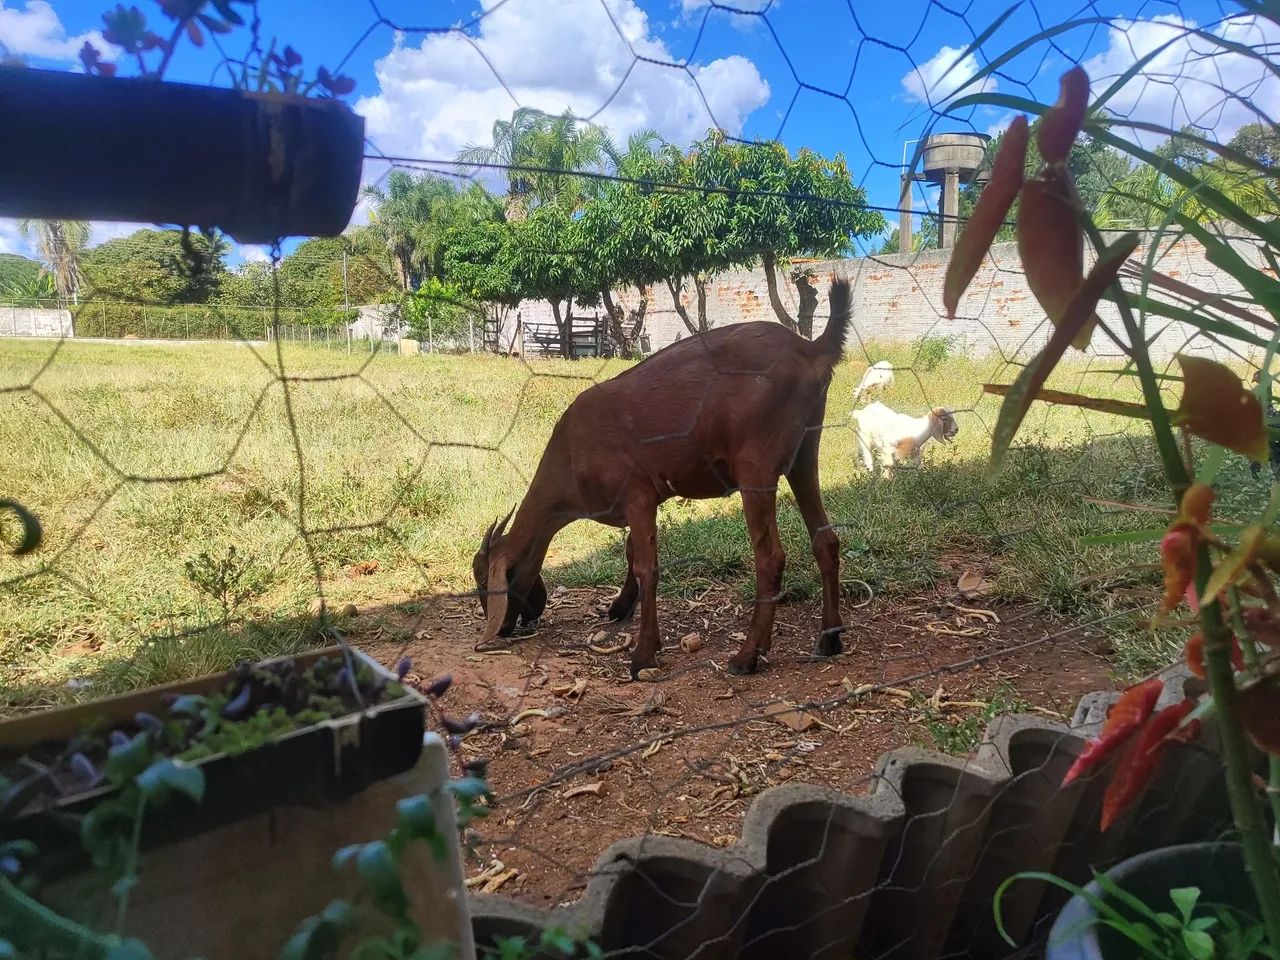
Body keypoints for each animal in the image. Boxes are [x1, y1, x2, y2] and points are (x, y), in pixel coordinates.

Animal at [474, 281, 853, 680]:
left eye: (484, 581)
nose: (503, 626)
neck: (571, 455)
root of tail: (811, 349)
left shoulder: (637, 494)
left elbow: (647, 567)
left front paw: (643, 654)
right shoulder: (641, 502)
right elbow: (631, 552)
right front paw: (620, 606)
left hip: (757, 467)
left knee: (771, 558)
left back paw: (748, 655)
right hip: (804, 454)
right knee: (826, 540)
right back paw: (828, 638)